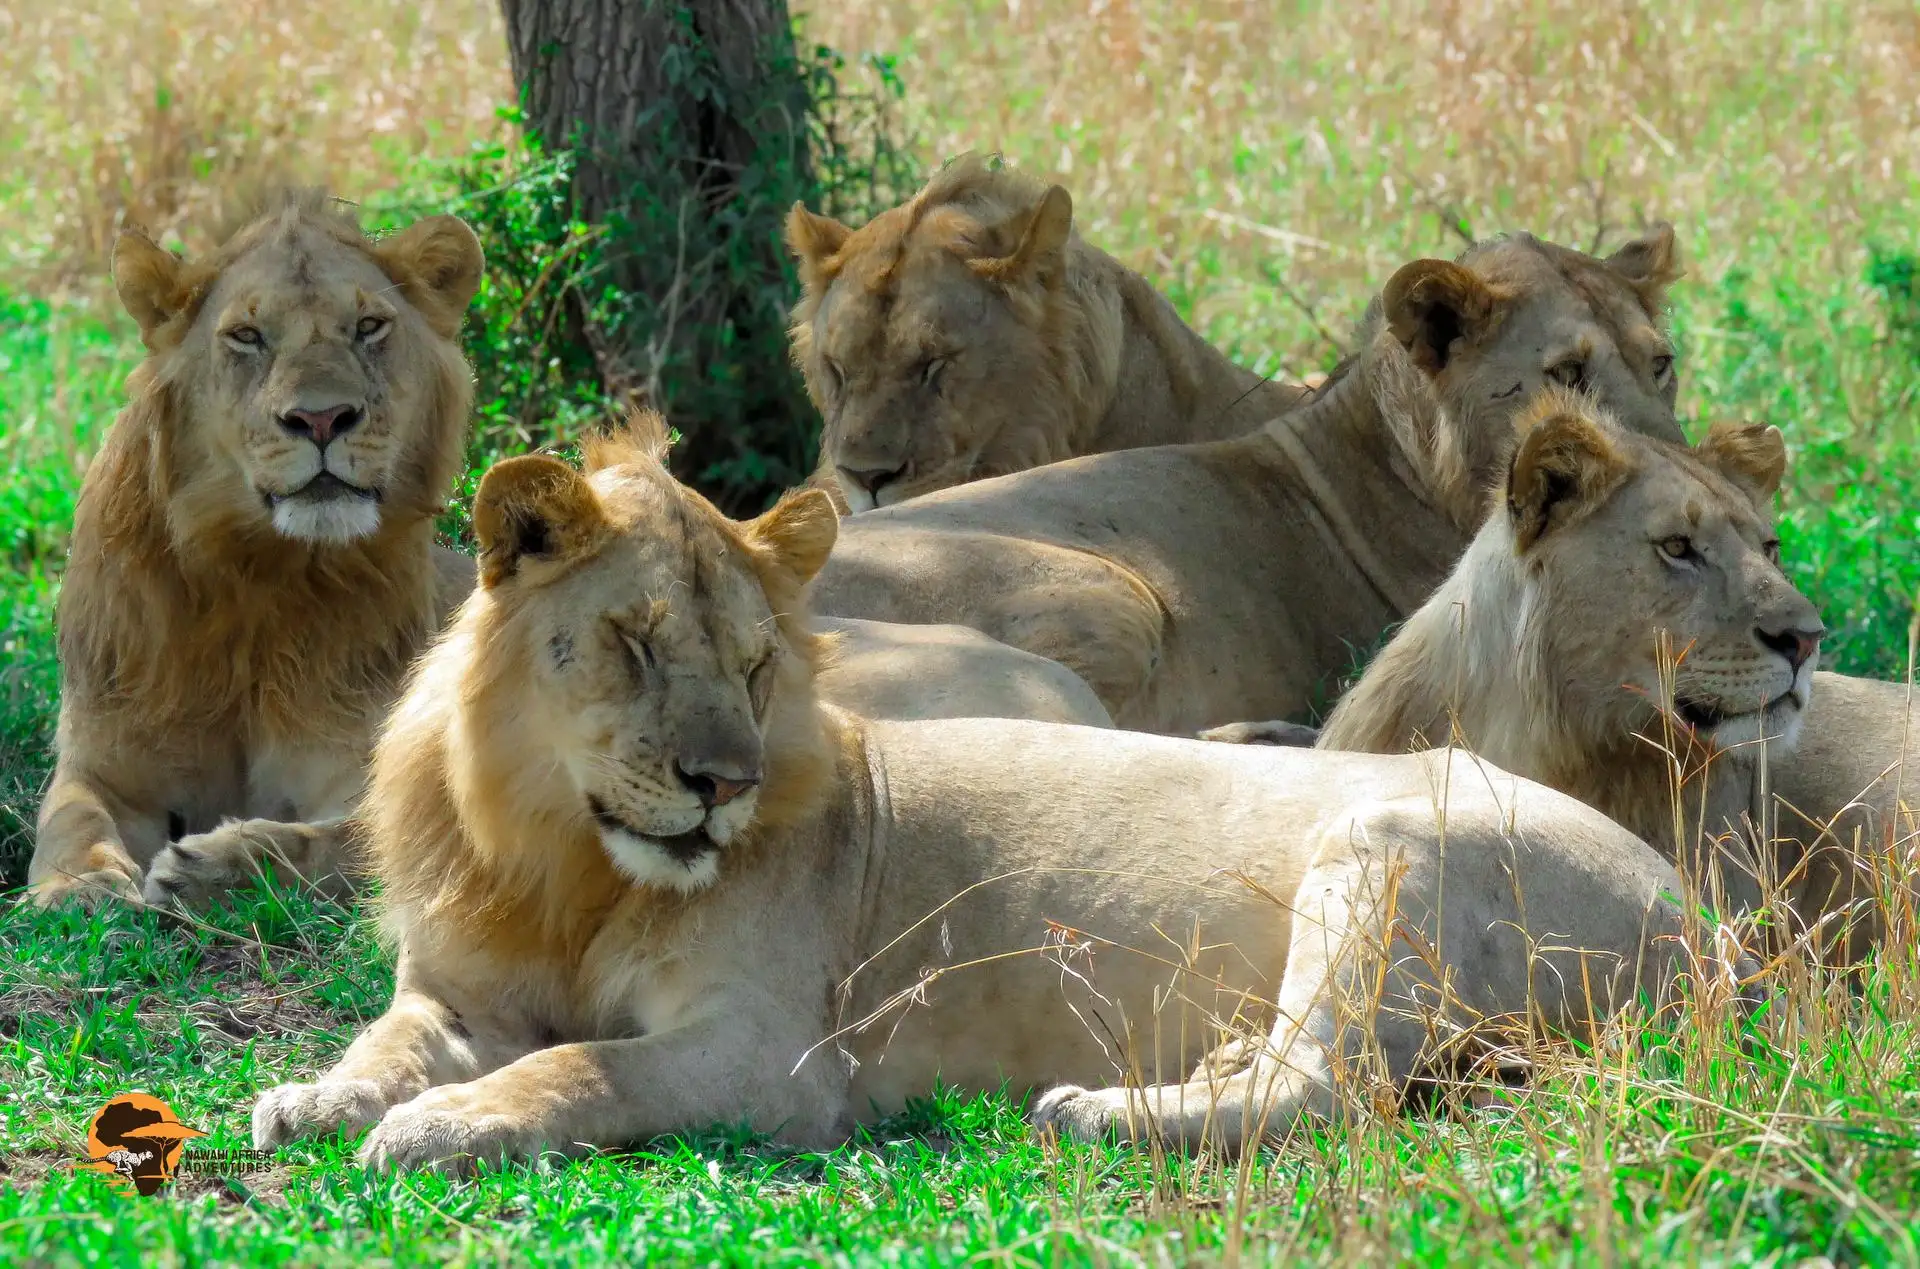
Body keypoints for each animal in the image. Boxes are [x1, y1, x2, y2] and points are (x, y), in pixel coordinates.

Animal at [27, 192, 485, 909]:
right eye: (247, 336)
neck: (257, 571)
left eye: (369, 326)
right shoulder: (106, 762)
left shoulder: (355, 769)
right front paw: (81, 888)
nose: (322, 419)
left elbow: (341, 840)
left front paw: (211, 867)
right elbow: (72, 817)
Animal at [249, 415, 1727, 1168]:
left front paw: (443, 1123)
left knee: (1323, 1086)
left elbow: (575, 1065)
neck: (560, 857)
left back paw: (1107, 1111)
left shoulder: (773, 1060)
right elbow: (389, 1040)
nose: (724, 785)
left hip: (1389, 838)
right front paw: (313, 1100)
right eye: (634, 644)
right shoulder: (458, 990)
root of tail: (1704, 925)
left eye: (754, 664)